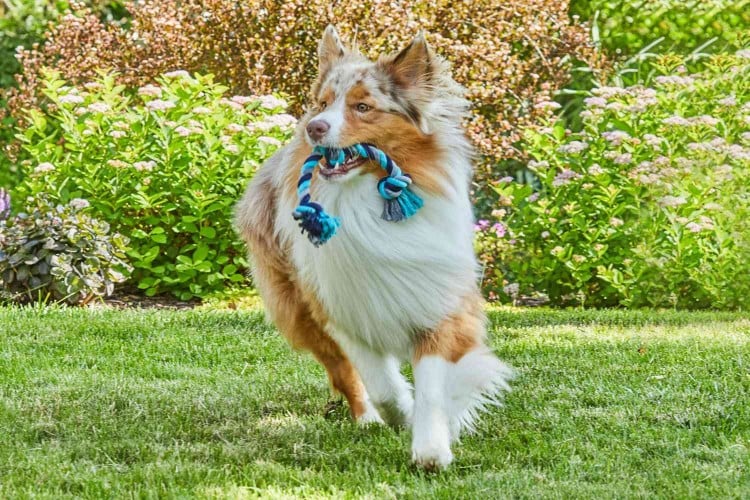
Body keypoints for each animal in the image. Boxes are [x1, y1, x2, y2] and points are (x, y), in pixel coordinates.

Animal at [236, 24, 516, 468]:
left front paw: (431, 446)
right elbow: (380, 383)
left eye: (363, 107)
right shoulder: (340, 307)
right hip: (296, 308)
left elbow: (434, 384)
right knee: (342, 371)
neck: (364, 200)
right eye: (323, 103)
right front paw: (402, 414)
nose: (315, 127)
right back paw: (366, 418)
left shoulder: (441, 303)